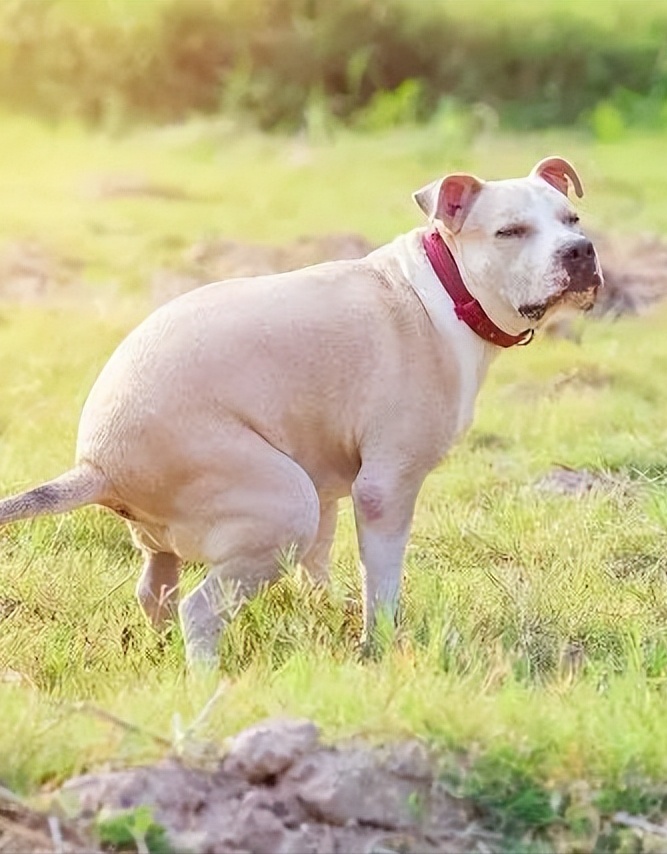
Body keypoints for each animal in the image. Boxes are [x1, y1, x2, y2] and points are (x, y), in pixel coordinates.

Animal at [0, 160, 604, 668]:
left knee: (156, 591)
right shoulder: (385, 488)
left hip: (191, 529)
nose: (580, 251)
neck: (447, 288)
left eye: (571, 219)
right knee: (201, 610)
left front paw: (329, 617)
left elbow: (320, 568)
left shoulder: (332, 483)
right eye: (511, 232)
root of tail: (96, 465)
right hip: (285, 504)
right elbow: (383, 584)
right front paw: (378, 648)